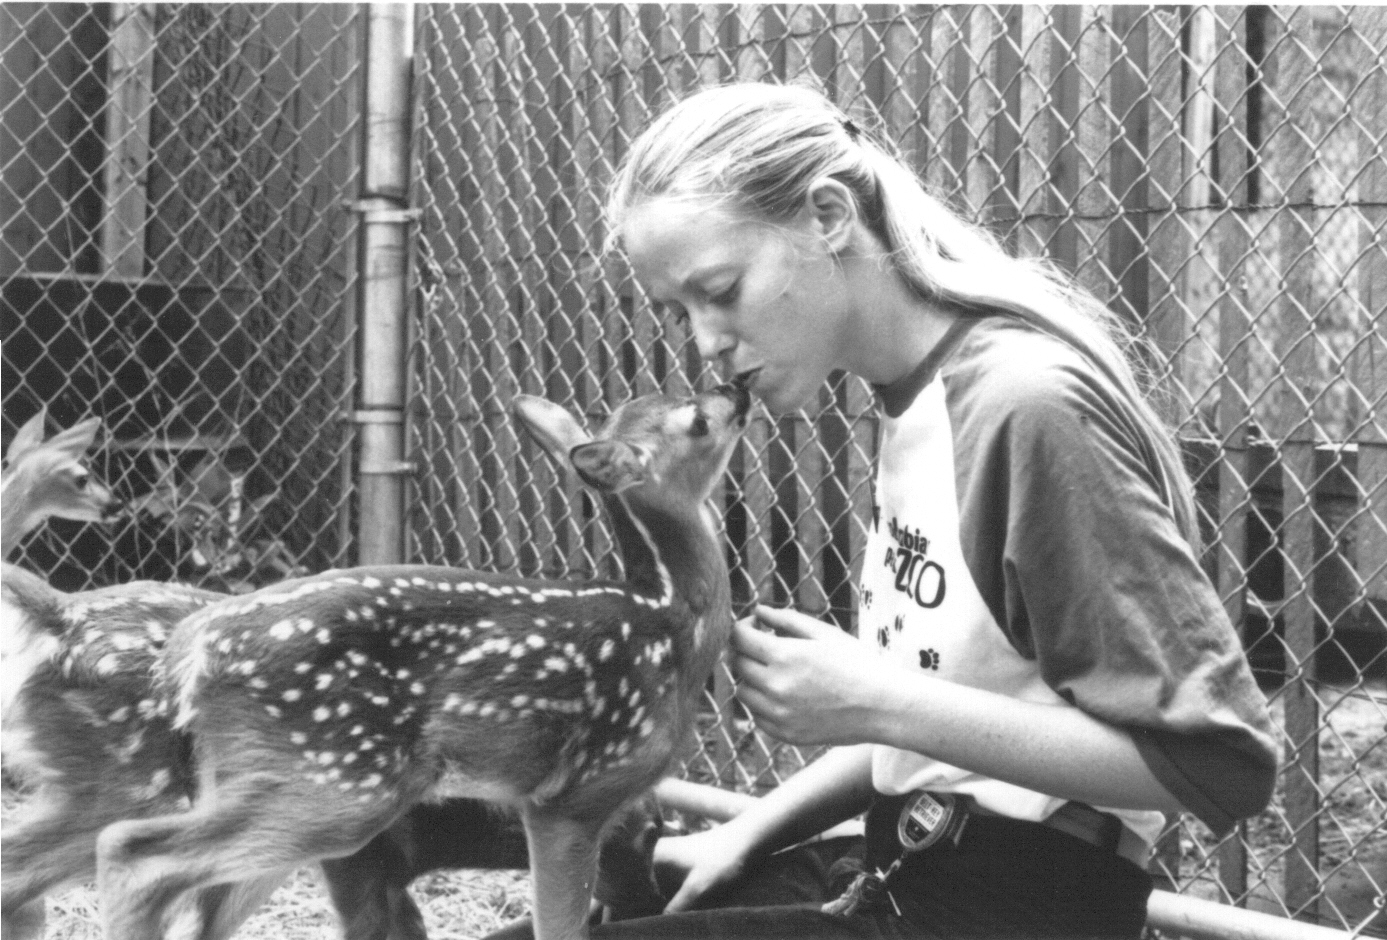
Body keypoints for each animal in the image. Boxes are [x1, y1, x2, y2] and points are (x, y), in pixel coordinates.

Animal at [91, 382, 748, 940]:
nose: (736, 388)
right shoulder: (575, 796)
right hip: (337, 779)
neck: (673, 624)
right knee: (132, 849)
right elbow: (559, 924)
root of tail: (190, 650)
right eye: (696, 419)